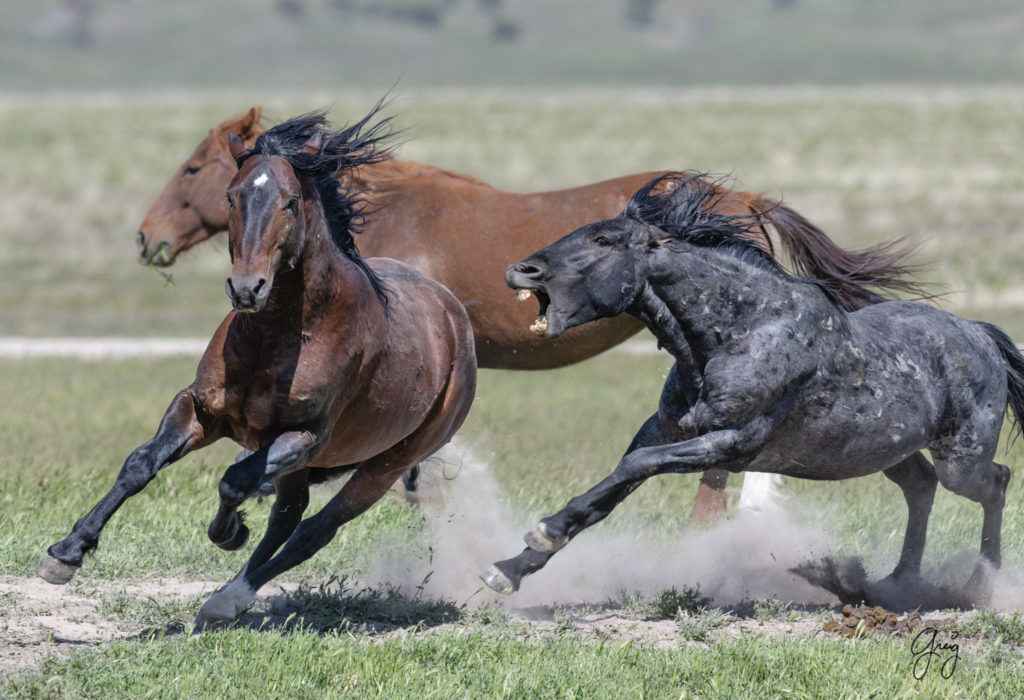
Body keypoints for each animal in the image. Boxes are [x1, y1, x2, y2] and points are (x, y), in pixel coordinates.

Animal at [36, 106, 475, 622]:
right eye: (231, 195)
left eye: (291, 201)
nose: (247, 289)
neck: (275, 337)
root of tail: (454, 317)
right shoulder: (202, 409)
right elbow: (140, 464)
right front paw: (66, 552)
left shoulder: (303, 435)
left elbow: (234, 481)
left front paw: (229, 531)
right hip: (313, 466)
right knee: (289, 516)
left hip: (385, 465)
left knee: (313, 530)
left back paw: (230, 596)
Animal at [136, 107, 929, 523]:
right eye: (228, 189)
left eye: (195, 170)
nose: (147, 239)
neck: (385, 213)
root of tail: (741, 199)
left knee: (717, 472)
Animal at [481, 171, 1024, 597]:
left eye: (604, 241)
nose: (521, 270)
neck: (741, 330)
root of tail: (981, 334)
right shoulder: (666, 429)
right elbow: (610, 491)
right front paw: (510, 568)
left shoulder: (728, 443)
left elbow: (633, 468)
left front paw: (542, 532)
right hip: (891, 452)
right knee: (921, 487)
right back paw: (897, 582)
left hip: (961, 459)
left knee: (995, 482)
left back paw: (981, 584)